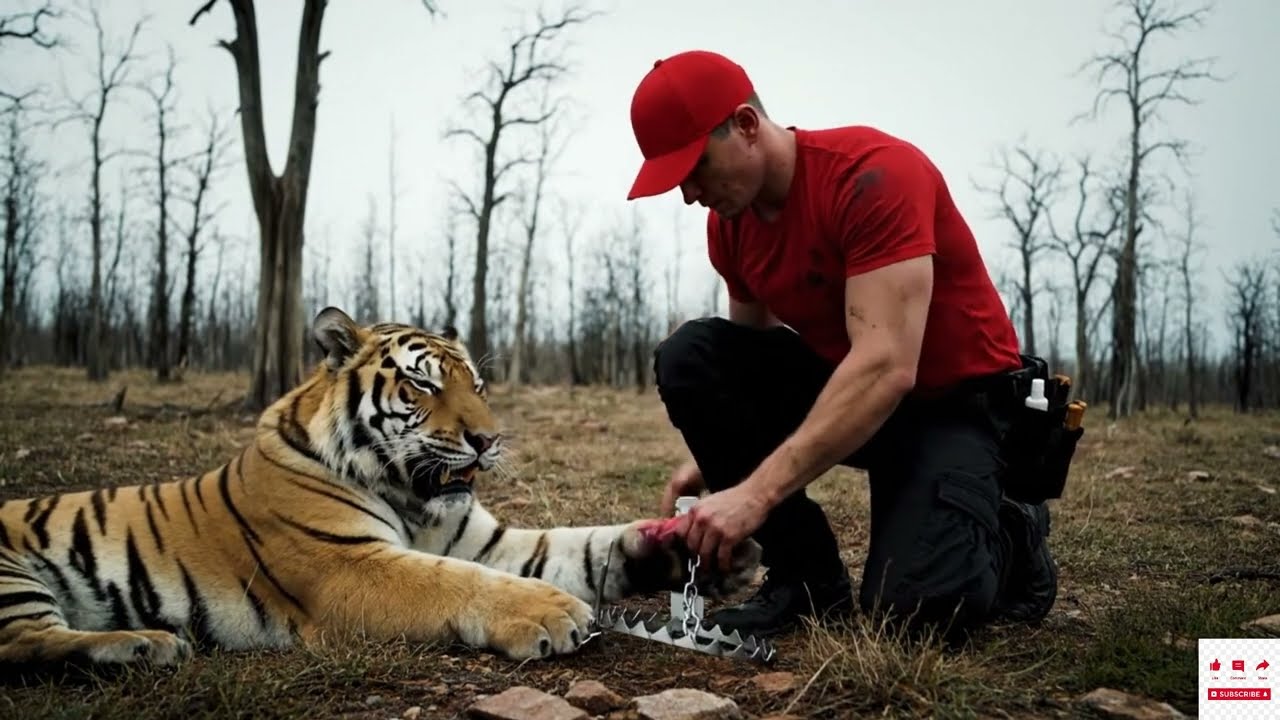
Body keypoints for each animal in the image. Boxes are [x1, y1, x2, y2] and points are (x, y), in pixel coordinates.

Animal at [0, 306, 760, 668]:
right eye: (424, 384)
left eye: (478, 385)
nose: (489, 440)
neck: (412, 497)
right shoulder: (346, 563)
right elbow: (454, 583)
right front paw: (550, 613)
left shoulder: (489, 540)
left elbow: (585, 547)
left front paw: (692, 555)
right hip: (12, 575)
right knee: (21, 644)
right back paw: (145, 645)